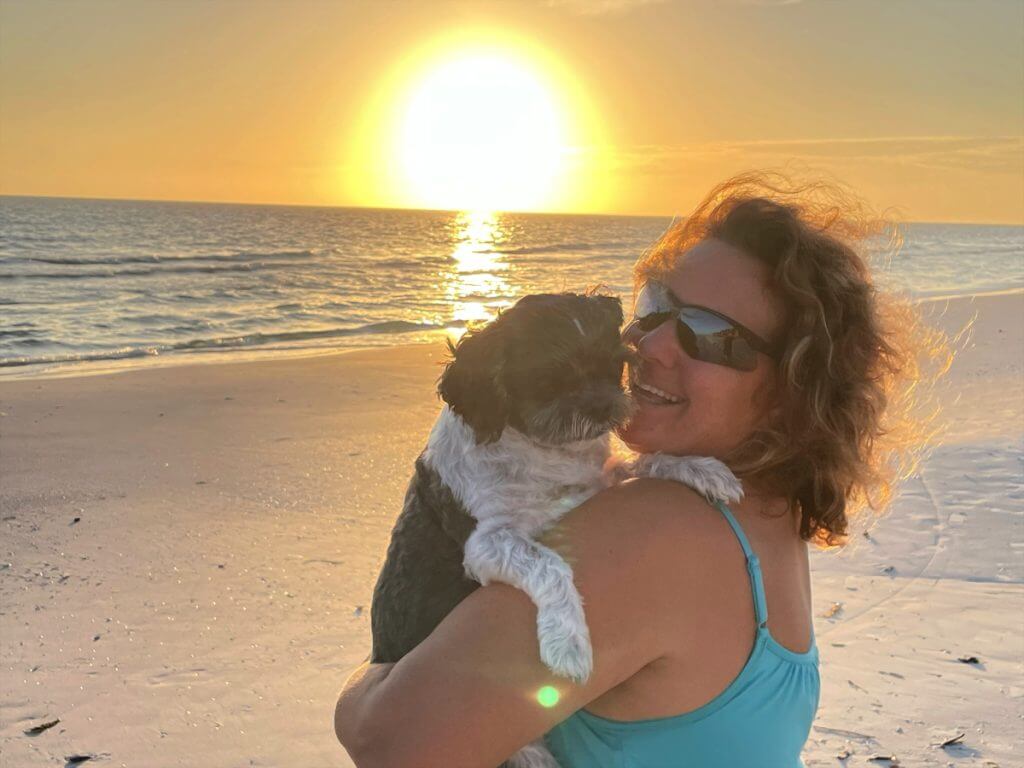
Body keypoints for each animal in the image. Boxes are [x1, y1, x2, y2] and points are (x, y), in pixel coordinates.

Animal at [372, 294, 741, 768]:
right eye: (547, 379)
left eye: (614, 365)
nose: (602, 406)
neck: (542, 454)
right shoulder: (485, 543)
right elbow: (549, 564)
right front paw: (568, 642)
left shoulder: (599, 483)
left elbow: (642, 461)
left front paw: (700, 468)